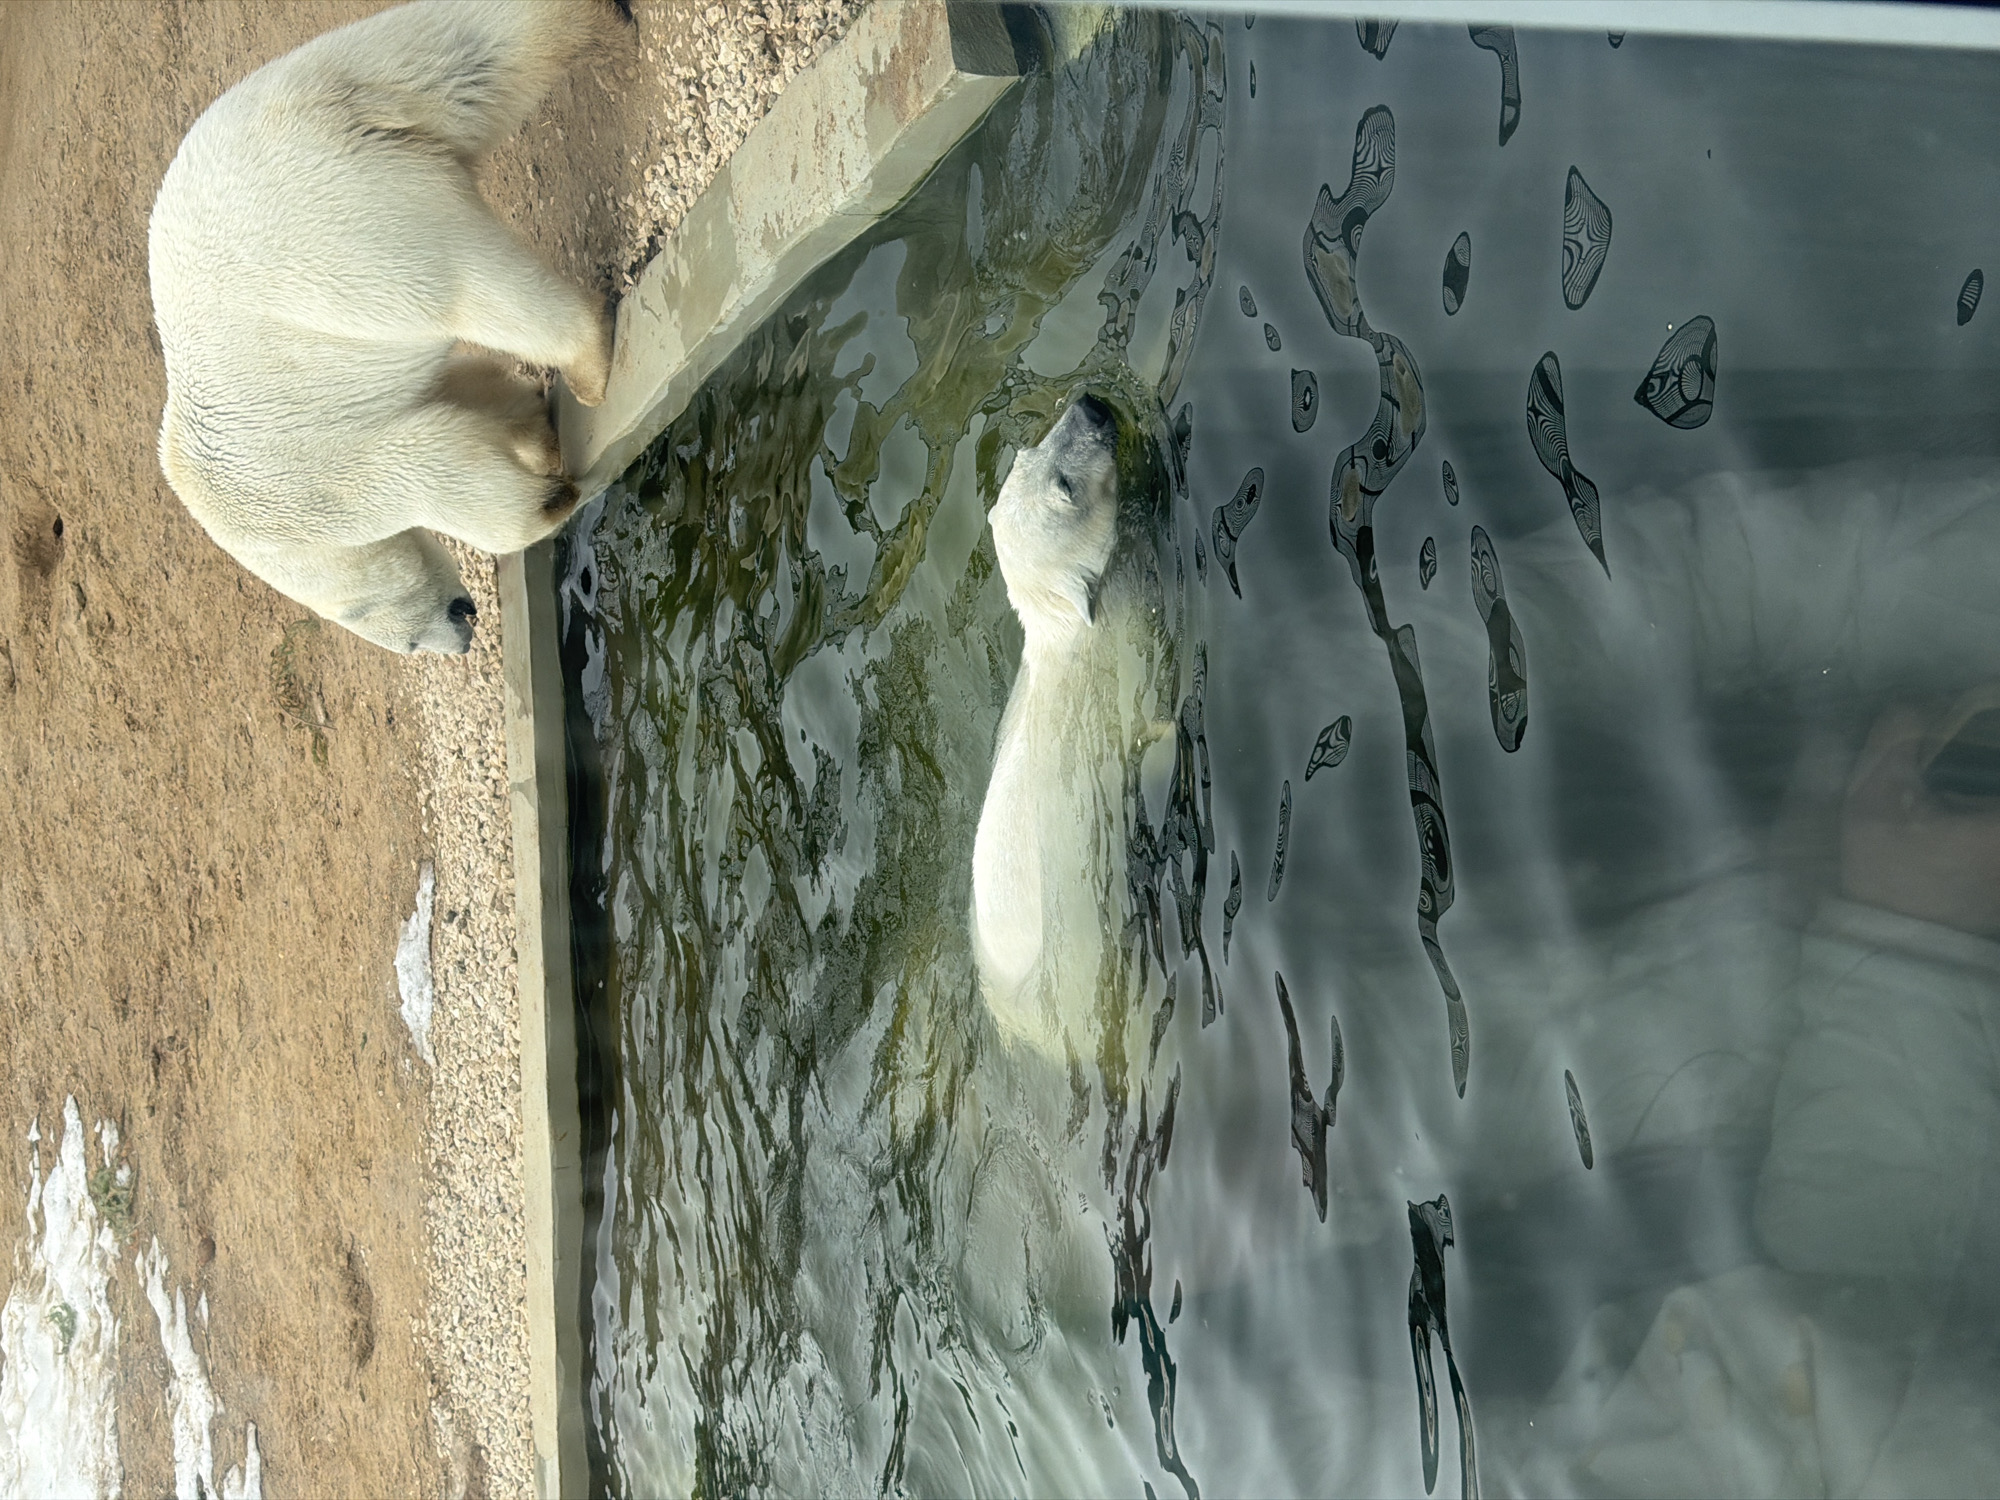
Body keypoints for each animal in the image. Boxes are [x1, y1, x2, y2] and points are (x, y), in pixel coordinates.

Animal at [148, 0, 627, 655]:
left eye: (408, 646)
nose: (464, 640)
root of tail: (316, 122)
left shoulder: (308, 489)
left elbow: (425, 463)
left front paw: (551, 500)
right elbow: (467, 391)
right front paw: (538, 438)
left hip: (344, 240)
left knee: (468, 288)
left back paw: (588, 368)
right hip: (343, 76)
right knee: (469, 53)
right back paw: (595, 18)